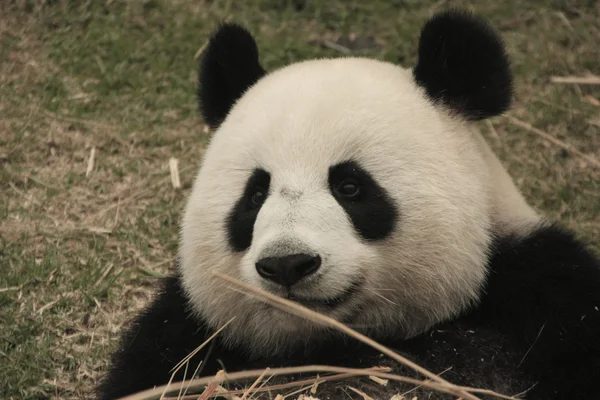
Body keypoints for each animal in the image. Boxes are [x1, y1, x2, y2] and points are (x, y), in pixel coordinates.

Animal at [96, 9, 600, 400]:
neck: (340, 345)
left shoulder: (544, 296)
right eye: (255, 195)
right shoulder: (183, 338)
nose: (287, 264)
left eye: (351, 187)